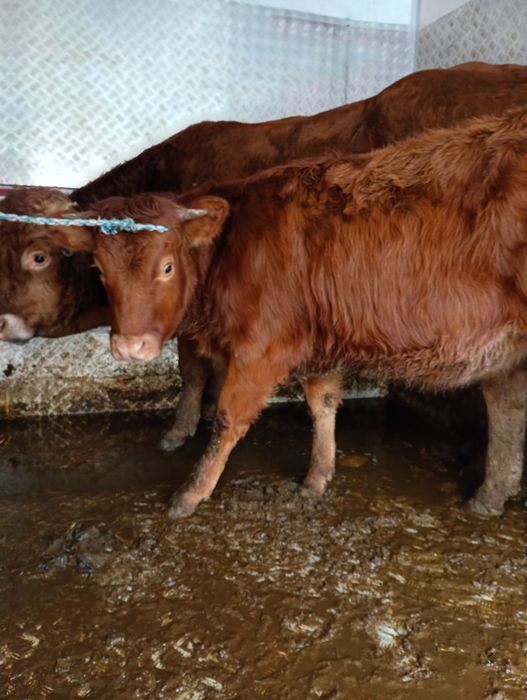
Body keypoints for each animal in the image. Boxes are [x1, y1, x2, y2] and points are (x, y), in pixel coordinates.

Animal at [49, 106, 527, 520]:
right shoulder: (321, 340)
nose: (130, 347)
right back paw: (489, 496)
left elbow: (227, 418)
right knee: (506, 405)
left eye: (166, 267)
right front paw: (317, 477)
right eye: (99, 269)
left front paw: (191, 492)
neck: (231, 250)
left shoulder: (262, 348)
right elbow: (323, 406)